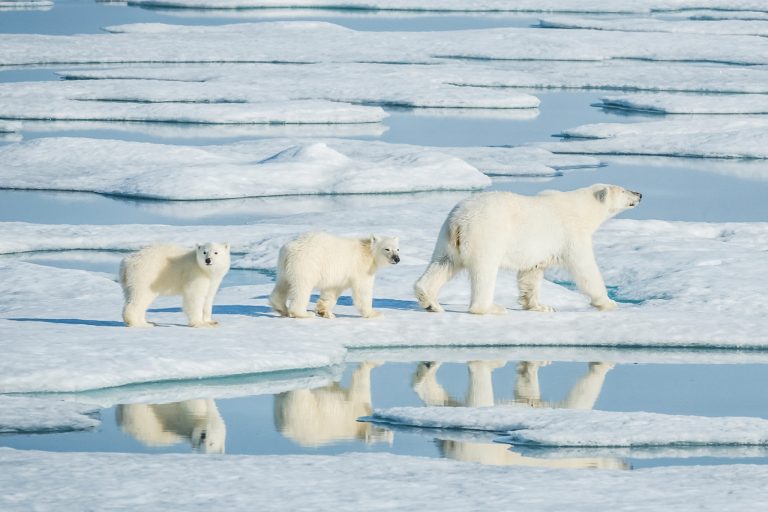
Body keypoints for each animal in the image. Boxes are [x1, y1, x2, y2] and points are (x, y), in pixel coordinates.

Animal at [269, 231, 400, 319]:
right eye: (387, 249)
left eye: (398, 249)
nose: (397, 259)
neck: (368, 252)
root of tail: (290, 248)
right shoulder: (361, 268)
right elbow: (363, 290)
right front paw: (374, 313)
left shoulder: (339, 276)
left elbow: (331, 291)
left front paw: (325, 312)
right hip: (306, 264)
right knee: (302, 287)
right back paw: (303, 313)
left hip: (284, 266)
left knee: (282, 284)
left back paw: (281, 308)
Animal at [414, 184, 641, 315]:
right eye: (623, 190)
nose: (639, 194)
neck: (582, 209)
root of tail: (459, 220)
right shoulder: (571, 234)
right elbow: (585, 269)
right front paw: (608, 302)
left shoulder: (538, 251)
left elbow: (531, 273)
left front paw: (540, 306)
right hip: (486, 234)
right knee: (484, 271)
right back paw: (491, 308)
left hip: (447, 238)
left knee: (443, 263)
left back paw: (430, 302)